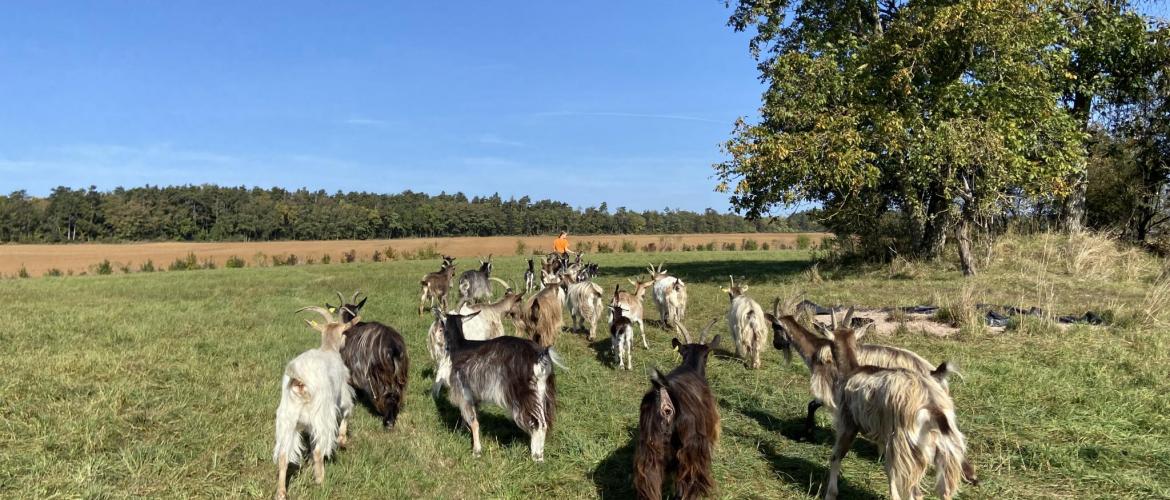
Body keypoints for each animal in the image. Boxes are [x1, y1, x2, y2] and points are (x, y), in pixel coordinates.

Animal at [272, 304, 358, 500]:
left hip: (287, 418)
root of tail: (299, 378)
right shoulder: (343, 391)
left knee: (283, 456)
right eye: (344, 333)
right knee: (319, 451)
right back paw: (321, 480)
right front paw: (342, 440)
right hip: (321, 414)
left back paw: (281, 492)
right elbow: (347, 410)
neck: (328, 349)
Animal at [636, 320, 716, 500]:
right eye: (707, 355)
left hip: (650, 453)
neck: (690, 367)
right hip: (690, 451)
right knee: (688, 485)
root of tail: (665, 399)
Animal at [762, 302, 954, 437]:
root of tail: (933, 372)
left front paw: (806, 434)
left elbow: (812, 405)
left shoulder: (830, 387)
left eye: (775, 326)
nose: (776, 344)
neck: (816, 349)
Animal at [823, 325, 968, 500]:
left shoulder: (849, 421)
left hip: (908, 447)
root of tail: (932, 407)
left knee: (915, 492)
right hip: (943, 451)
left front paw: (831, 493)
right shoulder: (886, 434)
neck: (853, 370)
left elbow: (836, 457)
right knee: (943, 490)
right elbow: (890, 470)